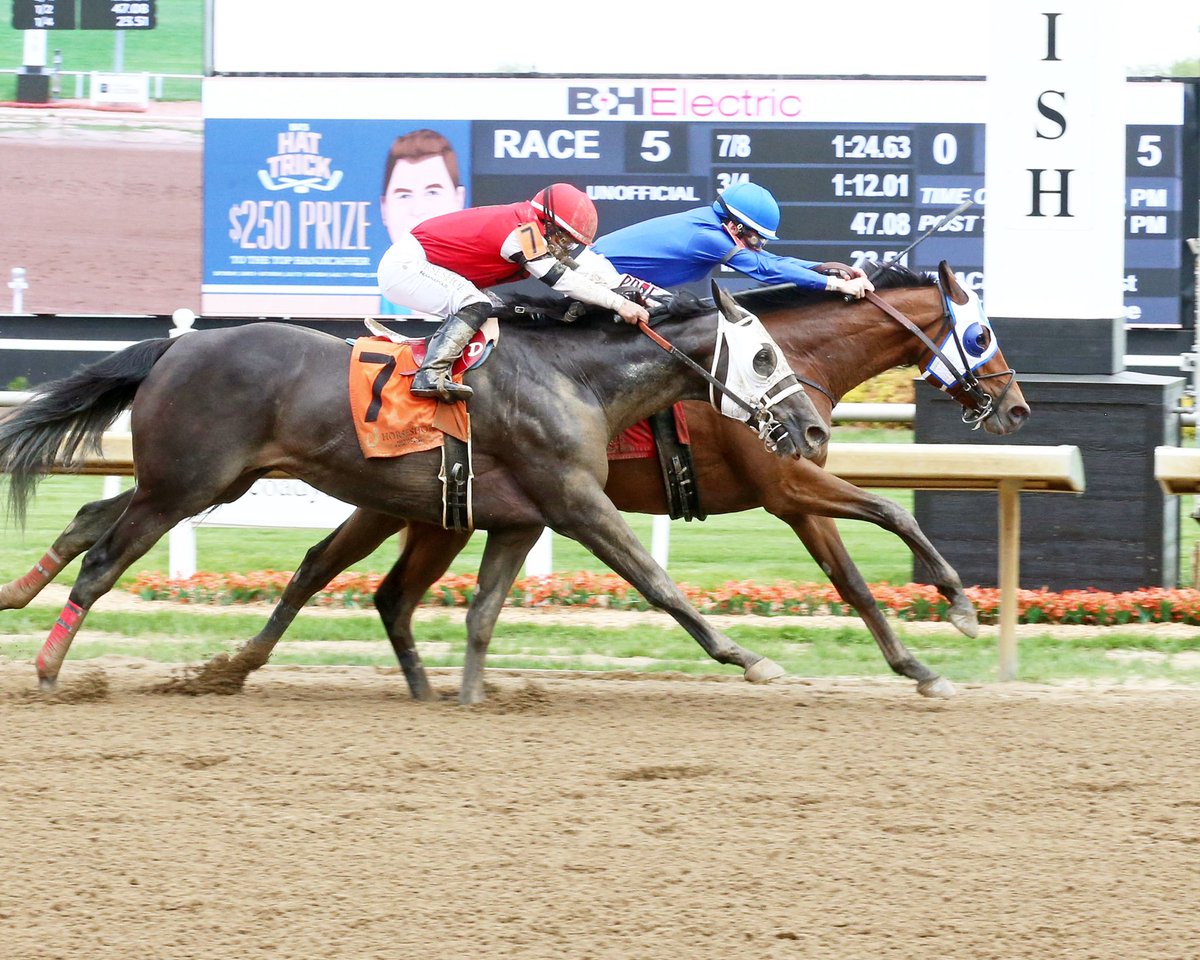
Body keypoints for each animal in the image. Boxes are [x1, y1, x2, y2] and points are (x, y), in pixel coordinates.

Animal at [2, 262, 1032, 696]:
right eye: (980, 332)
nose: (1017, 408)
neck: (584, 375)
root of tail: (177, 347)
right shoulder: (601, 501)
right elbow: (671, 585)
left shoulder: (535, 513)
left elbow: (853, 572)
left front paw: (925, 658)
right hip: (197, 483)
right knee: (117, 556)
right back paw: (56, 666)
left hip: (276, 490)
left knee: (108, 519)